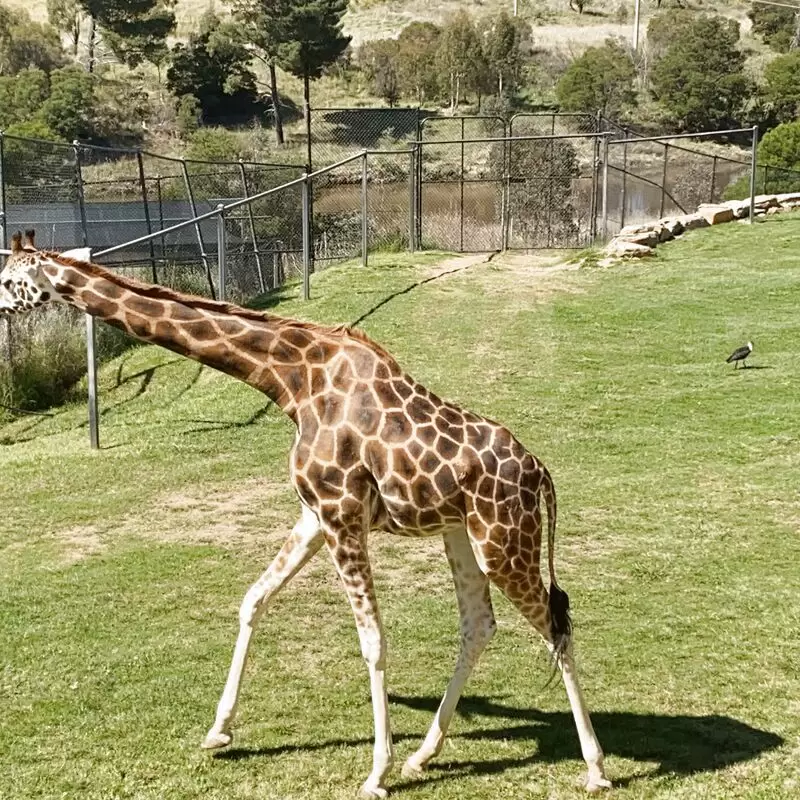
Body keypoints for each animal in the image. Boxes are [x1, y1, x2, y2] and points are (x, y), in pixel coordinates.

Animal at [1, 230, 612, 792]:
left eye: (9, 279)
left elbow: (372, 640)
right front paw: (218, 732)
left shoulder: (341, 511)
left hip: (504, 540)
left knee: (555, 623)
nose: (0, 310)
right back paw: (424, 755)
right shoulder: (315, 513)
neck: (292, 381)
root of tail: (540, 473)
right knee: (479, 624)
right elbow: (253, 599)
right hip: (462, 534)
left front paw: (375, 772)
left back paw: (595, 767)